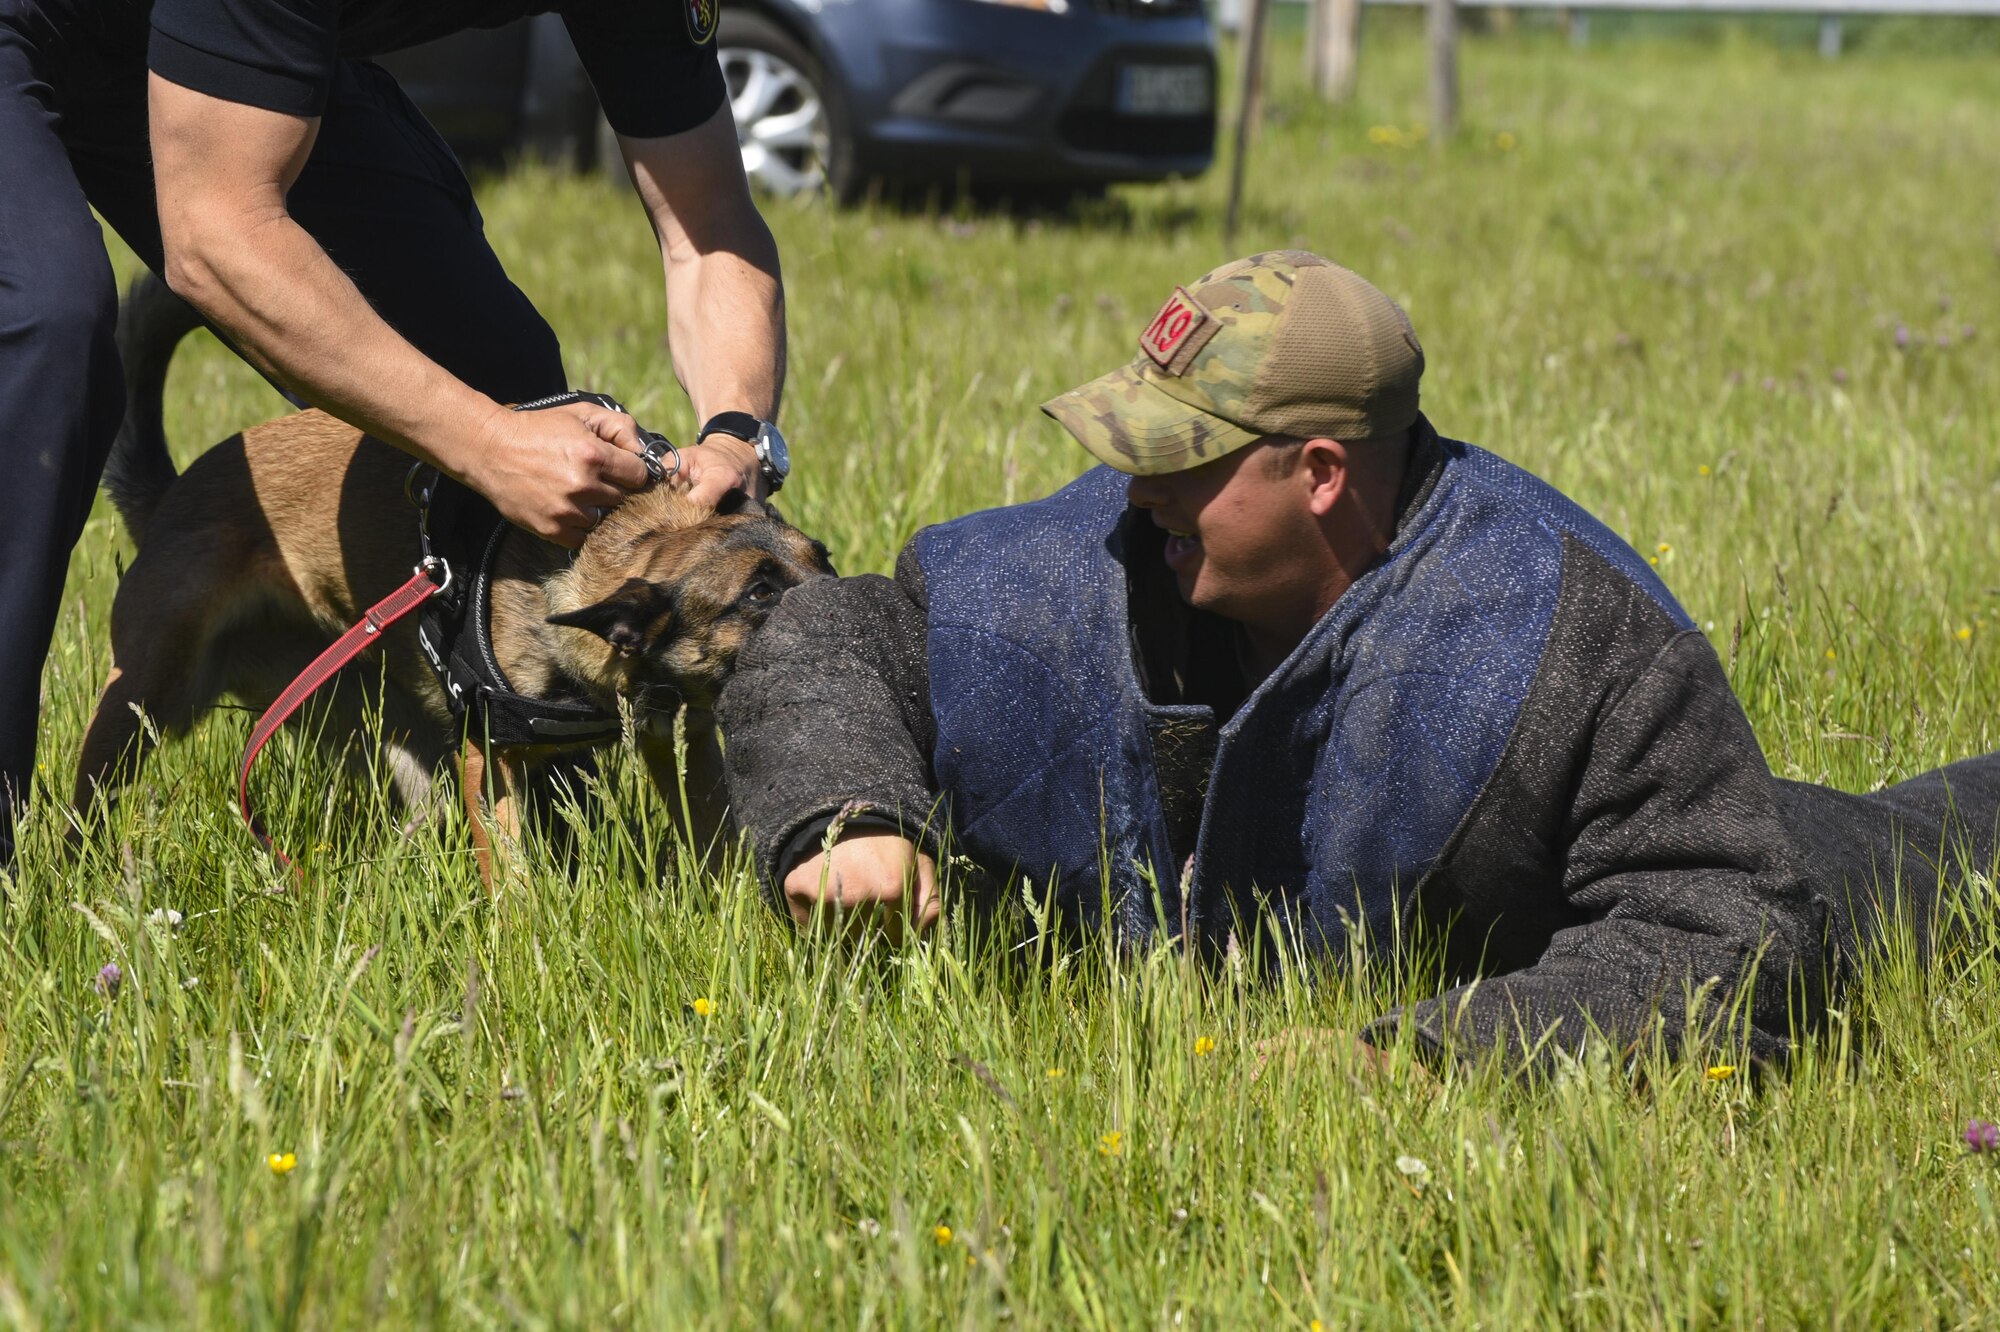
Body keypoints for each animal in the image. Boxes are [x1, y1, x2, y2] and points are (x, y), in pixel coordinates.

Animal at [72, 278, 828, 880]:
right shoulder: (486, 759)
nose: (845, 601)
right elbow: (513, 876)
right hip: (148, 698)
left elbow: (715, 838)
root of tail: (170, 497)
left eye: (822, 559)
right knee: (91, 795)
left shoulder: (681, 742)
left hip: (377, 724)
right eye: (759, 593)